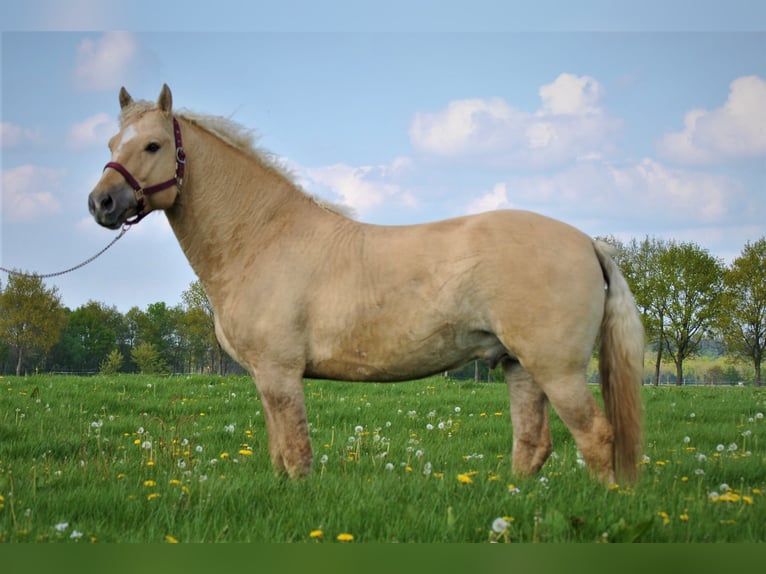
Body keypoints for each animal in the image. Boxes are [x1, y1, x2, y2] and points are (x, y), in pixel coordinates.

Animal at [88, 85, 644, 484]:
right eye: (112, 145)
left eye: (154, 145)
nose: (102, 203)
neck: (264, 236)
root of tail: (587, 242)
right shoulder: (265, 378)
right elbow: (279, 453)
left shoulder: (280, 374)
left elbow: (296, 455)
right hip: (519, 366)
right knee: (533, 445)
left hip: (559, 369)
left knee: (597, 437)